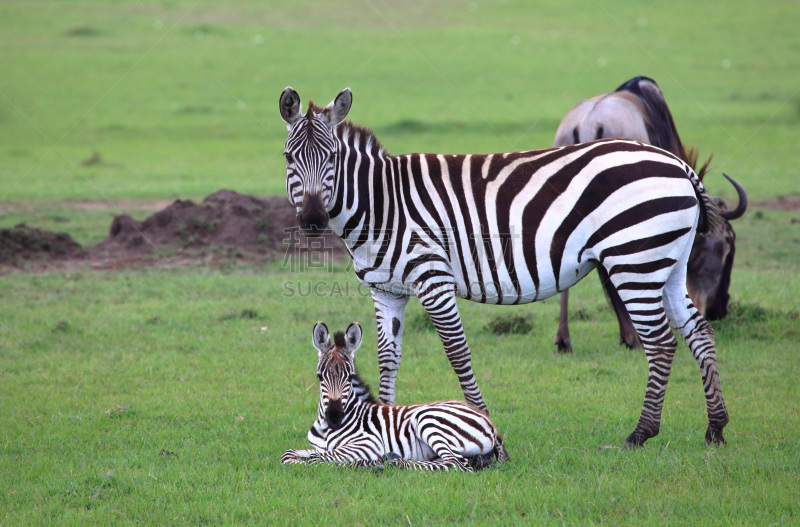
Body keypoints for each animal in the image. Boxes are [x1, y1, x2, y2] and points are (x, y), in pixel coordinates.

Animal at [282, 324, 506, 472]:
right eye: (319, 377)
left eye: (350, 377)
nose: (334, 417)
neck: (325, 428)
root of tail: (488, 421)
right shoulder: (316, 447)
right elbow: (288, 454)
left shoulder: (367, 444)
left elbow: (318, 459)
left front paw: (362, 462)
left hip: (428, 420)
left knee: (456, 463)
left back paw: (392, 462)